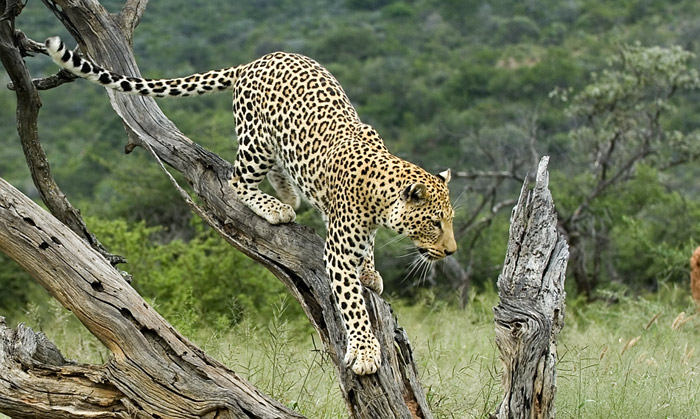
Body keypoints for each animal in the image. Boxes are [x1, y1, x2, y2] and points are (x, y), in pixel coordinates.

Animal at [45, 37, 460, 378]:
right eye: (435, 223)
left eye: (448, 221)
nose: (452, 251)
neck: (381, 197)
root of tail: (254, 62)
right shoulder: (337, 252)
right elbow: (353, 306)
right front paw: (366, 352)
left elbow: (368, 250)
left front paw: (371, 272)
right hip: (256, 139)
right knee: (236, 180)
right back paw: (275, 207)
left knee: (277, 168)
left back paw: (288, 196)